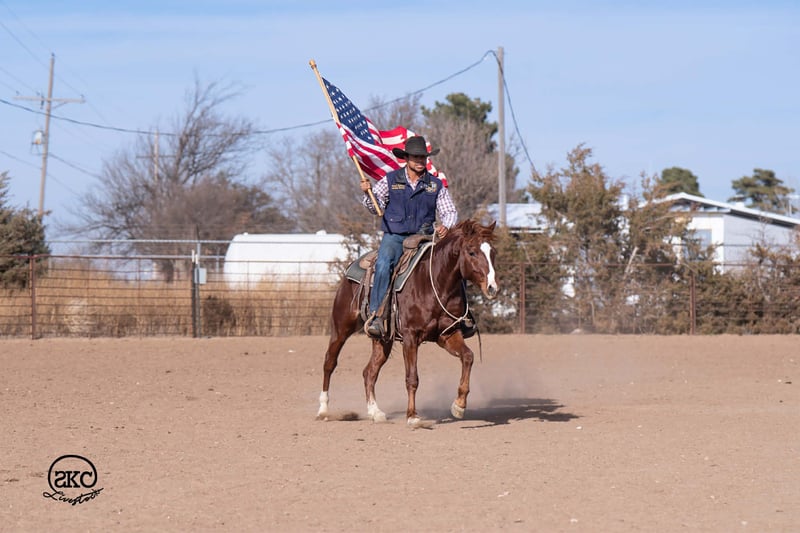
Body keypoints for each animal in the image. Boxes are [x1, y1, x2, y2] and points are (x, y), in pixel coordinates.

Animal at [317, 219, 499, 427]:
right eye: (471, 252)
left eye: (493, 252)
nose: (492, 288)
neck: (435, 282)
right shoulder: (411, 337)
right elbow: (412, 378)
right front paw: (412, 416)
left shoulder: (448, 335)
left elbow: (468, 357)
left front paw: (459, 405)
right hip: (341, 327)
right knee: (329, 362)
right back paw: (323, 410)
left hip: (382, 339)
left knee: (369, 372)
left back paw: (375, 412)